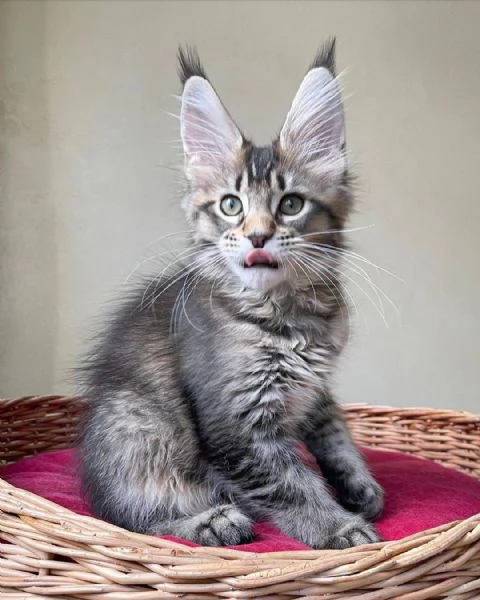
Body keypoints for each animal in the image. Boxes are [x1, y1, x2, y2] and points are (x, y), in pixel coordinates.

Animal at [80, 41, 384, 548]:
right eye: (231, 205)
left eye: (291, 204)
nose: (258, 236)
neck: (290, 315)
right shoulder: (236, 427)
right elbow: (292, 483)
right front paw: (339, 526)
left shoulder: (315, 391)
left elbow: (337, 432)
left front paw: (360, 486)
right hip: (136, 424)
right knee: (128, 520)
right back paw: (211, 522)